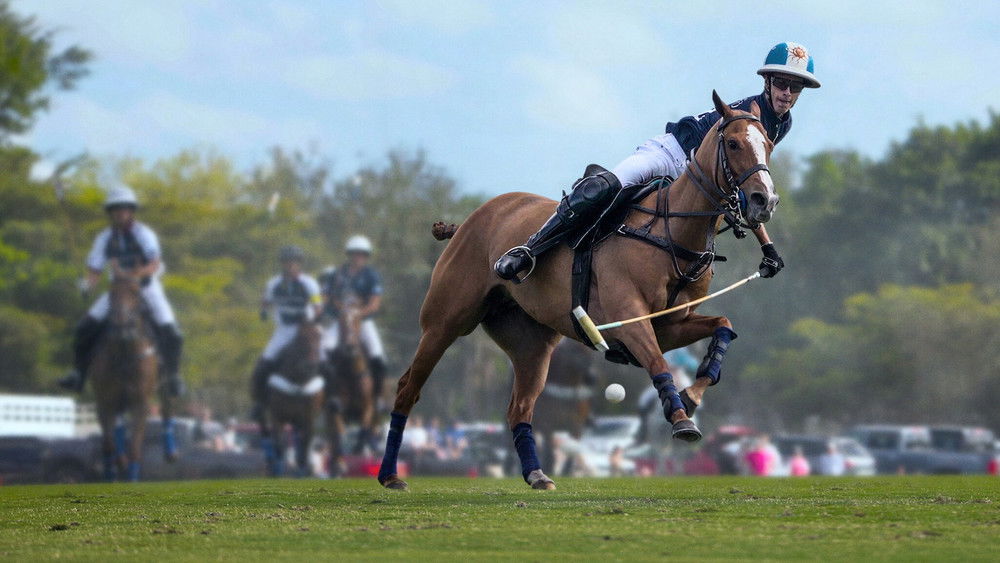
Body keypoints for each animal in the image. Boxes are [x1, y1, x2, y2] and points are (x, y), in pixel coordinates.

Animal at [89, 274, 176, 481]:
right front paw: (112, 472)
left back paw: (170, 452)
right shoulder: (104, 401)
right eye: (111, 292)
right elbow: (108, 445)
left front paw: (131, 479)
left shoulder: (141, 403)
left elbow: (135, 447)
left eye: (136, 293)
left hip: (164, 386)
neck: (125, 353)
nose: (122, 325)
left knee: (167, 409)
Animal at [258, 320, 325, 476]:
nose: (311, 366)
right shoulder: (277, 416)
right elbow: (279, 445)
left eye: (320, 338)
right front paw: (278, 470)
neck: (298, 381)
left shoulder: (308, 418)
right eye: (301, 338)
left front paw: (304, 469)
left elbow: (305, 444)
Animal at [324, 294, 380, 475]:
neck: (351, 372)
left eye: (358, 319)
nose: (350, 346)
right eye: (340, 321)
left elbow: (363, 430)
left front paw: (360, 448)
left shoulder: (368, 407)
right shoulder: (336, 410)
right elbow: (338, 435)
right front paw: (339, 464)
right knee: (333, 438)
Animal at [531, 338, 597, 475]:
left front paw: (566, 470)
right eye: (575, 351)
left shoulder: (576, 424)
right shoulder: (547, 423)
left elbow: (573, 448)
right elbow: (549, 449)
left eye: (590, 354)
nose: (592, 378)